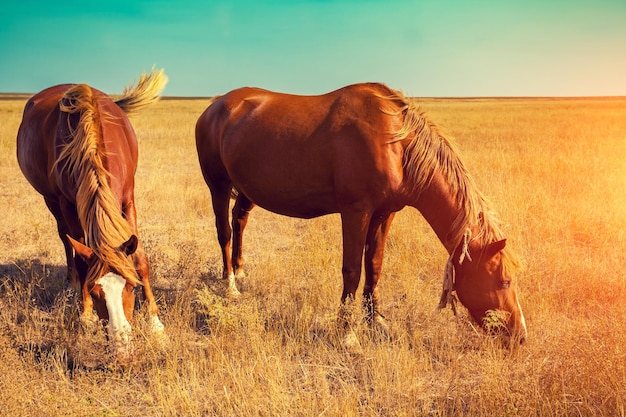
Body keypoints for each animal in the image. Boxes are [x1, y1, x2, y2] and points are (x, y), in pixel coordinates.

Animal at [16, 68, 167, 354]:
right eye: (96, 293)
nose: (121, 344)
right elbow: (80, 255)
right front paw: (85, 315)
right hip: (51, 201)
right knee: (66, 240)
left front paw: (155, 323)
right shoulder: (67, 203)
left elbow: (140, 257)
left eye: (132, 287)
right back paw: (72, 282)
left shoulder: (128, 197)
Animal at [195, 83, 528, 342]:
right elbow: (353, 269)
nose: (520, 336)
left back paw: (239, 271)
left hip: (247, 190)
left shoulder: (385, 213)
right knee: (224, 231)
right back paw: (230, 284)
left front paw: (376, 321)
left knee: (240, 220)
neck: (395, 144)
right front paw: (346, 331)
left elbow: (375, 265)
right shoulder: (356, 212)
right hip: (218, 185)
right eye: (504, 281)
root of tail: (215, 106)